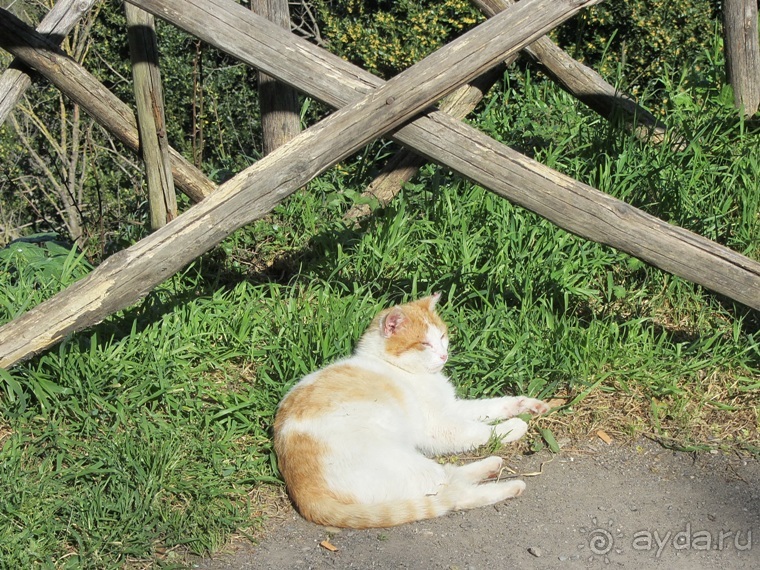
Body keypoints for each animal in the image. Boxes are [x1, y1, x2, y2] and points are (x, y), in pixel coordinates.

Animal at [274, 292, 548, 528]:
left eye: (442, 337)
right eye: (424, 344)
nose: (444, 355)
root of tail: (302, 491)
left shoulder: (452, 407)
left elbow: (491, 406)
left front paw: (526, 404)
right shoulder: (438, 427)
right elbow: (478, 430)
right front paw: (514, 426)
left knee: (450, 478)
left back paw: (491, 465)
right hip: (406, 464)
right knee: (452, 494)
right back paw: (508, 485)